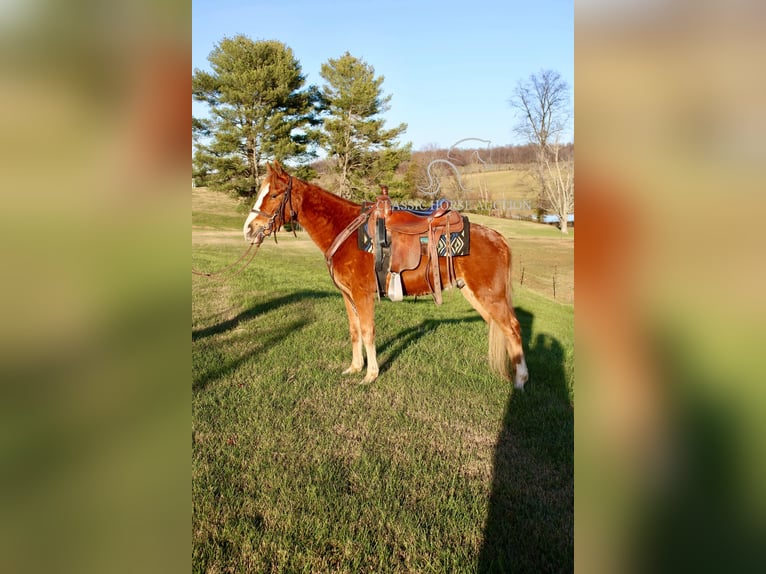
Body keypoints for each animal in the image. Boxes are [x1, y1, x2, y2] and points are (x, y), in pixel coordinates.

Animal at [243, 161, 532, 392]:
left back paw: (520, 381)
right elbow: (355, 331)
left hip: (490, 295)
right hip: (474, 294)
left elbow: (368, 331)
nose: (249, 230)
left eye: (274, 194)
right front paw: (354, 368)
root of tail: (499, 238)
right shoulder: (347, 296)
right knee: (503, 329)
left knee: (513, 328)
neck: (345, 231)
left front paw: (370, 375)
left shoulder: (362, 295)